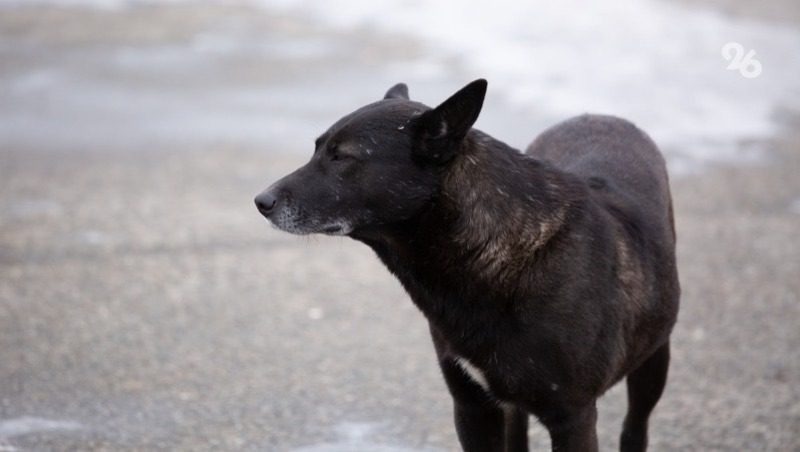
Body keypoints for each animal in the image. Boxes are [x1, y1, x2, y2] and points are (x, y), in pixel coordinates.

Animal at [258, 79, 680, 450]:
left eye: (342, 156)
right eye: (317, 150)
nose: (261, 201)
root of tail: (600, 116)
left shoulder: (573, 417)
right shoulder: (473, 407)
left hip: (653, 363)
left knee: (635, 427)